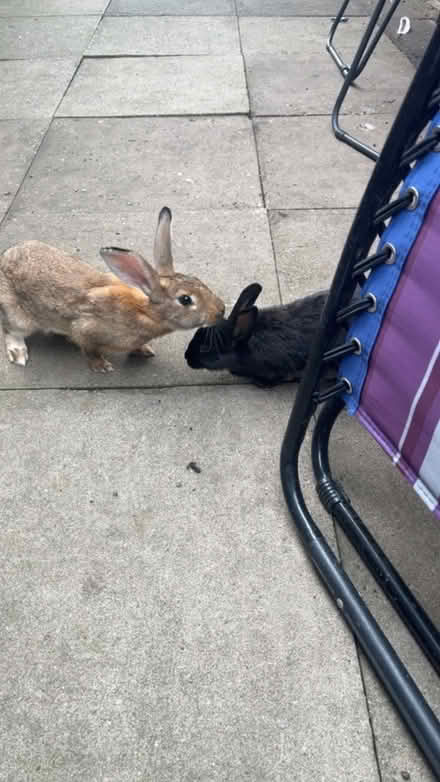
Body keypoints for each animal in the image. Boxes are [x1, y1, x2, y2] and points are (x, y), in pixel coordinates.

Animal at [0, 206, 225, 373]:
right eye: (185, 299)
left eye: (198, 279)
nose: (221, 311)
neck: (145, 312)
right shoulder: (85, 330)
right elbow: (88, 348)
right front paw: (101, 367)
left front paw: (145, 350)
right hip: (18, 315)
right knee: (10, 330)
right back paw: (18, 353)